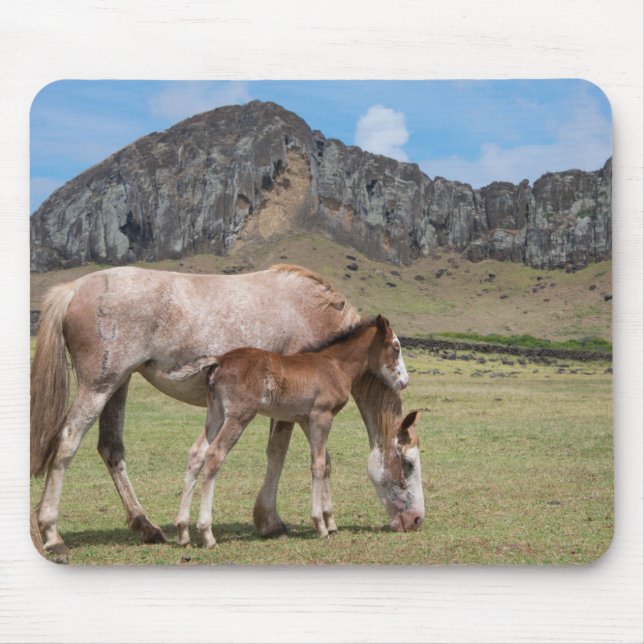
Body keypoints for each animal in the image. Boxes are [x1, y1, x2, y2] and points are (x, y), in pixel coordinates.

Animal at [167, 315, 422, 546]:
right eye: (396, 347)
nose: (404, 382)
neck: (335, 365)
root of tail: (219, 360)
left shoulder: (306, 419)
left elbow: (326, 462)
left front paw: (330, 521)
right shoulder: (322, 415)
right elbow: (317, 464)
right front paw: (319, 524)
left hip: (216, 414)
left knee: (196, 454)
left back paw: (183, 531)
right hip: (239, 415)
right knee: (214, 454)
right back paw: (206, 533)